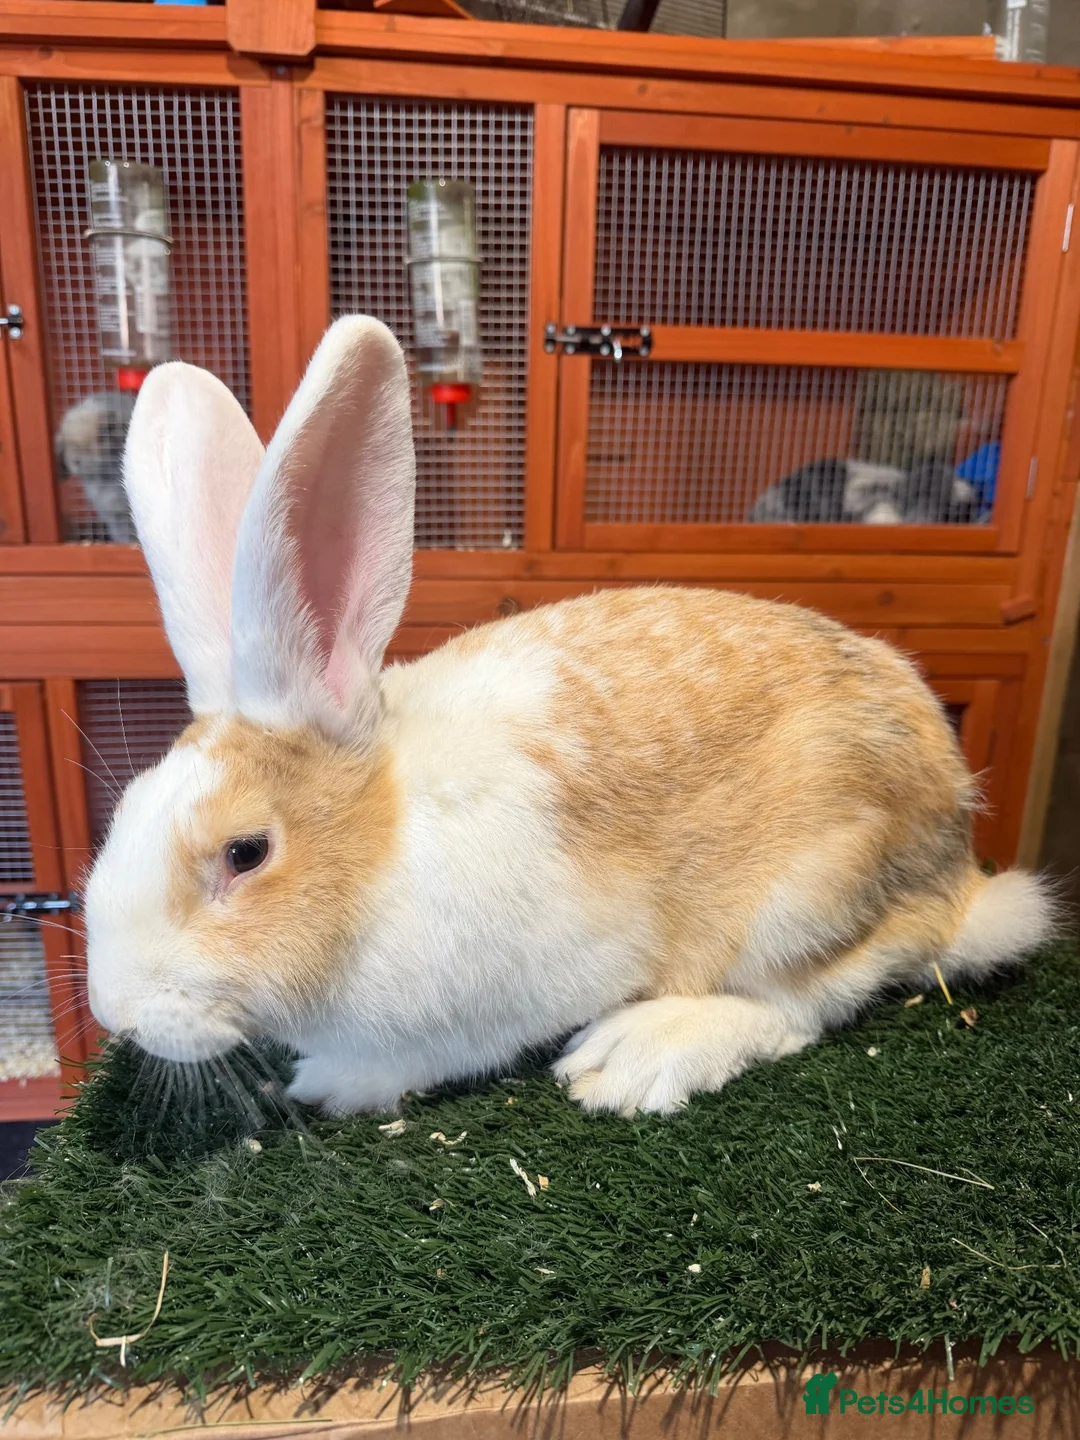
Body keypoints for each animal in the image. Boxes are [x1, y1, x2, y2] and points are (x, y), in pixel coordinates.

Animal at [83, 316, 1054, 1118]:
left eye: (246, 853)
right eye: (124, 812)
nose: (114, 1012)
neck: (384, 843)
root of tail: (958, 869)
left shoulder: (485, 1006)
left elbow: (419, 1057)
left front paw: (330, 1086)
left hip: (809, 896)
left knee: (801, 1007)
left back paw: (635, 1058)